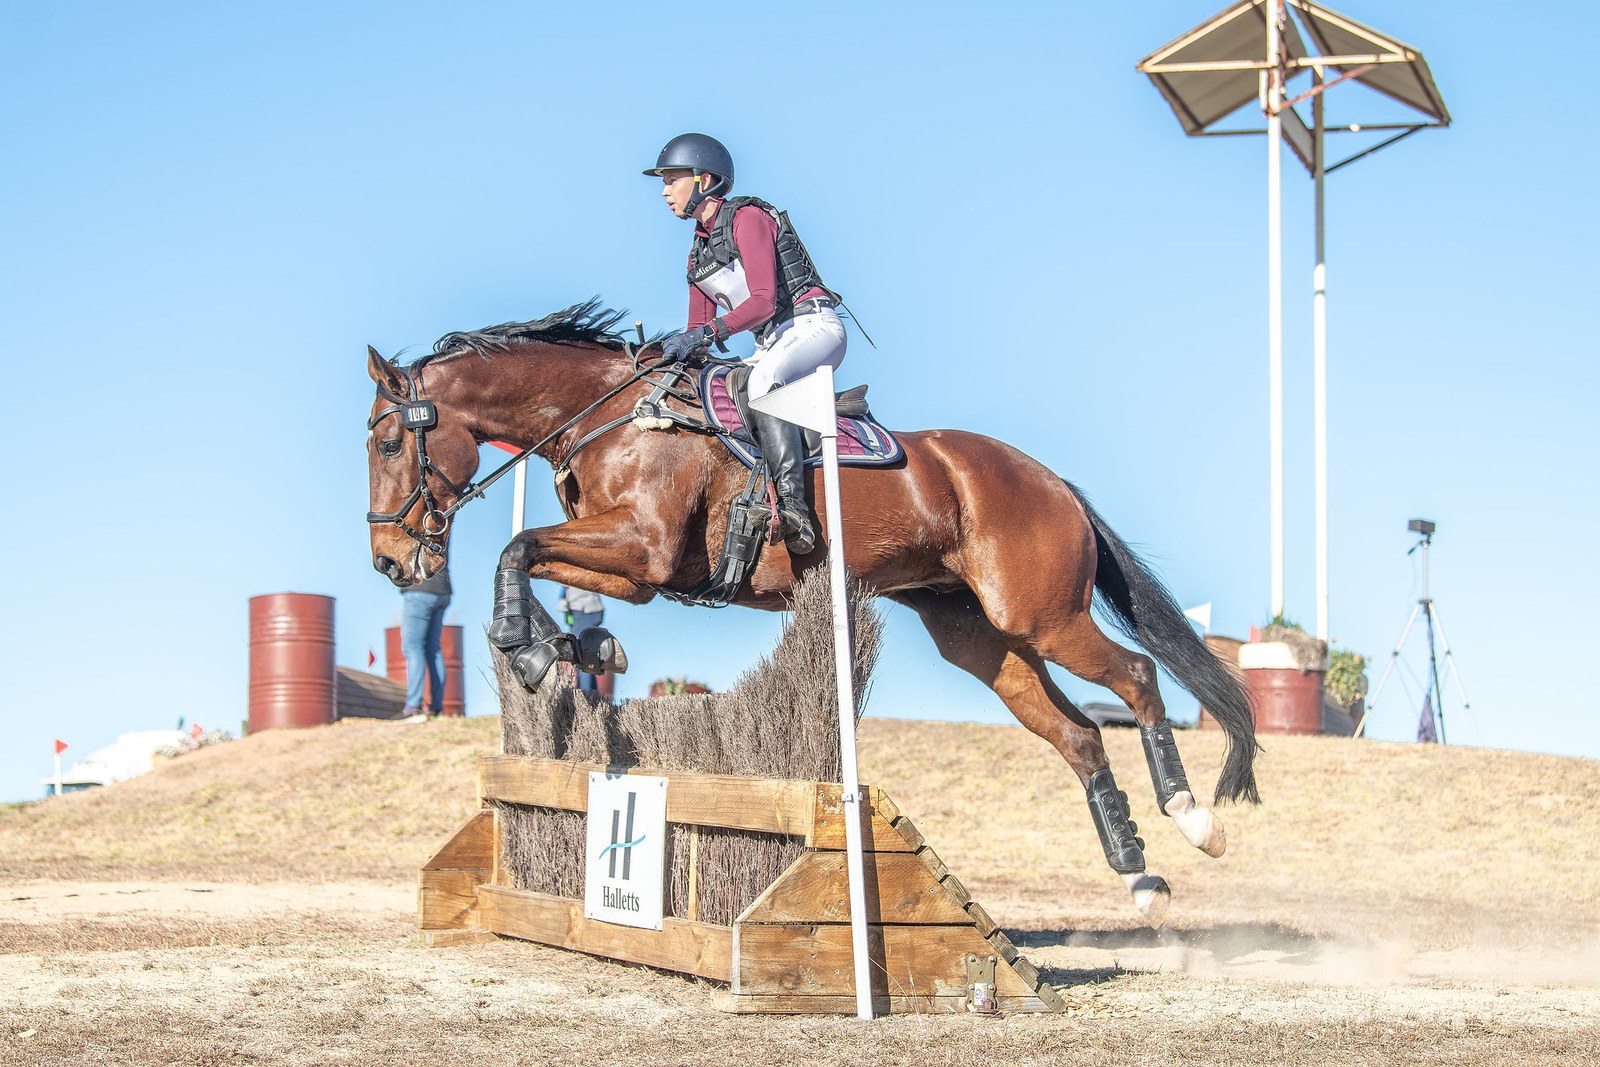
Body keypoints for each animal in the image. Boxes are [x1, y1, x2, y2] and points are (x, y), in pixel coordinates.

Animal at [364, 301, 1259, 928]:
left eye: (386, 444)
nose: (390, 562)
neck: (606, 414)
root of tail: (1050, 479)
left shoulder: (643, 550)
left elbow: (514, 546)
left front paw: (530, 650)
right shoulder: (634, 569)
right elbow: (526, 558)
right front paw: (565, 651)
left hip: (1041, 614)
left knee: (1138, 676)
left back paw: (1193, 819)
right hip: (980, 638)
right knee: (1077, 736)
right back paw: (1141, 876)